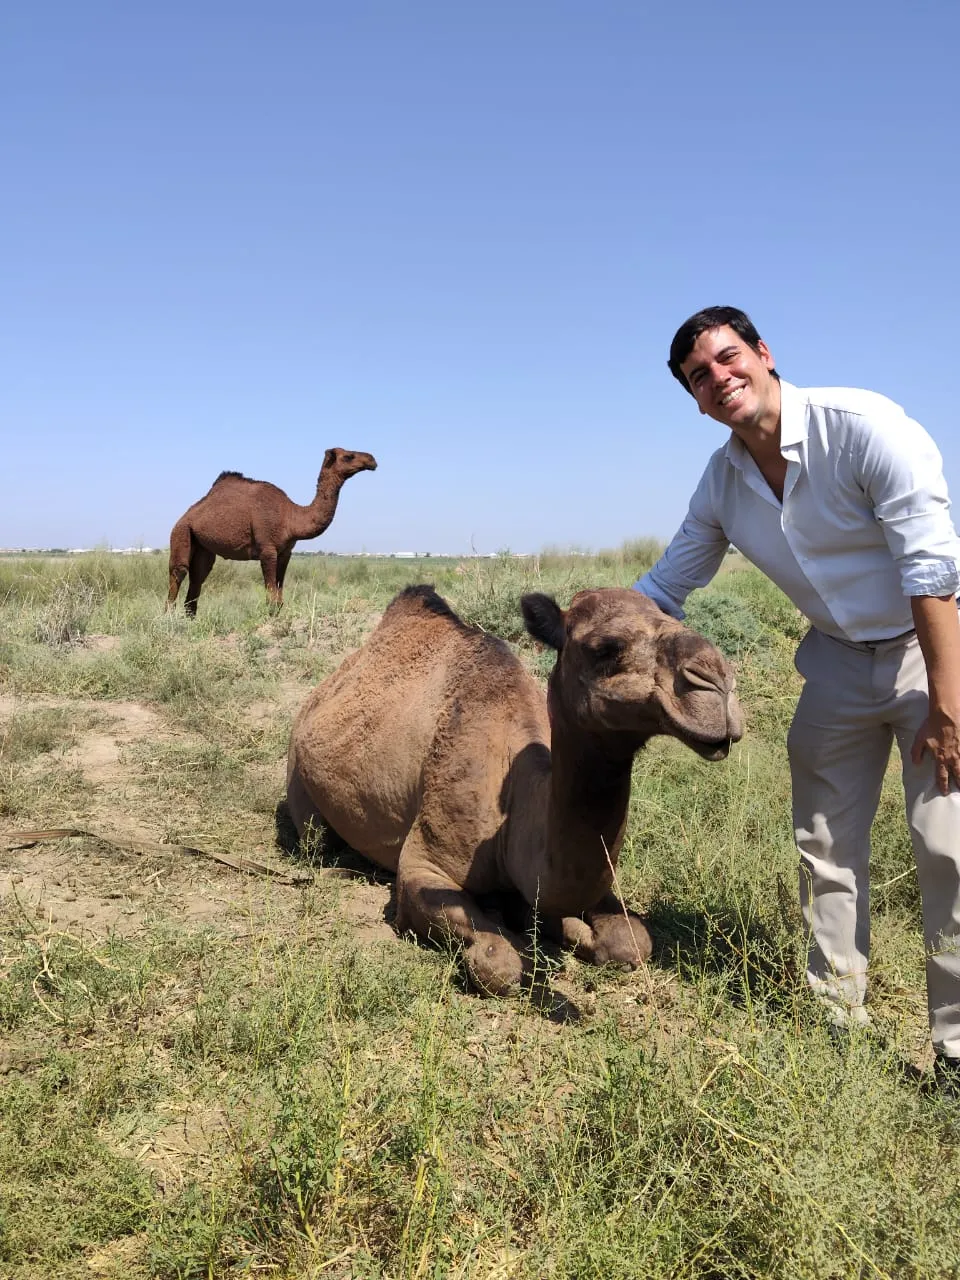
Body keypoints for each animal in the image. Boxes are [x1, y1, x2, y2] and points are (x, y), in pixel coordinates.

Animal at [167, 448, 378, 615]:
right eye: (349, 456)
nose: (372, 459)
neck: (290, 517)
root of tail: (186, 515)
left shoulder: (285, 552)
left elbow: (279, 592)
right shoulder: (267, 549)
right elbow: (271, 595)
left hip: (203, 546)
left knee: (198, 576)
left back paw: (190, 619)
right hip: (181, 531)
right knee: (179, 570)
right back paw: (169, 617)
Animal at [286, 584, 743, 996]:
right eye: (605, 647)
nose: (717, 682)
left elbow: (632, 941)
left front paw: (566, 929)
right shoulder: (423, 867)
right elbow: (501, 963)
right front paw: (529, 936)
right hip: (301, 789)